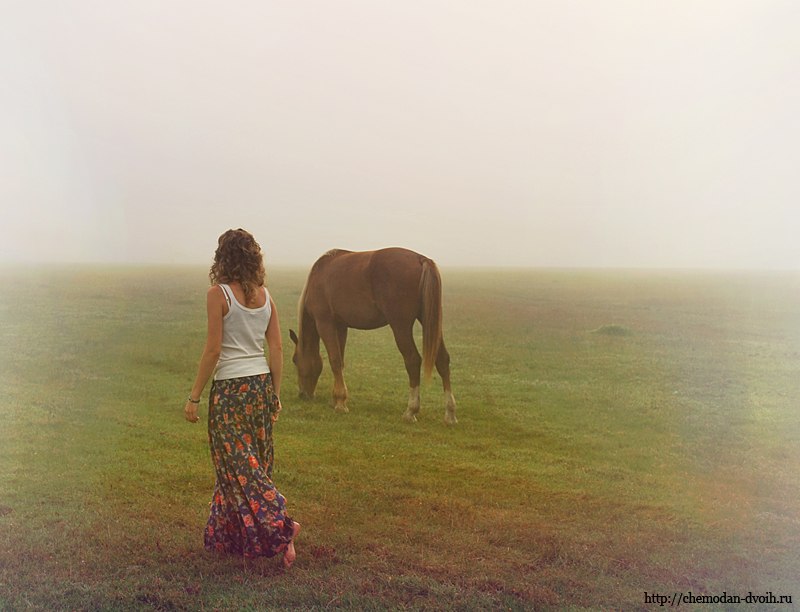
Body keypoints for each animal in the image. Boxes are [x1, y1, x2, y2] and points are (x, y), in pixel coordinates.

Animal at [288, 247, 457, 424]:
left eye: (295, 360)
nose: (303, 394)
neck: (318, 276)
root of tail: (421, 259)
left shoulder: (325, 323)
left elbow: (335, 361)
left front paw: (340, 403)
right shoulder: (341, 327)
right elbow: (340, 361)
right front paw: (337, 399)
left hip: (401, 327)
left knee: (413, 360)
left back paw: (411, 410)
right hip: (428, 320)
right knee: (442, 360)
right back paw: (450, 413)